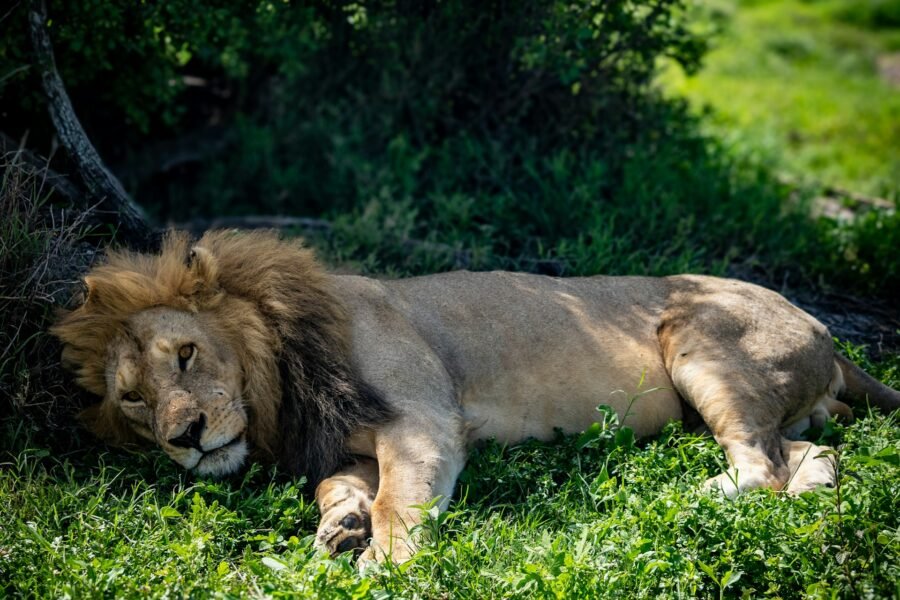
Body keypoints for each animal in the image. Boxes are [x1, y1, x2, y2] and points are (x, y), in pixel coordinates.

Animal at [53, 230, 900, 563]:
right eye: (133, 400)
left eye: (186, 354)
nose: (186, 436)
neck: (283, 384)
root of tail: (826, 328)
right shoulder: (345, 443)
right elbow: (342, 486)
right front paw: (340, 525)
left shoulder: (422, 421)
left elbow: (399, 501)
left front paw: (383, 563)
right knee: (806, 454)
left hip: (700, 338)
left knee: (758, 467)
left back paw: (682, 499)